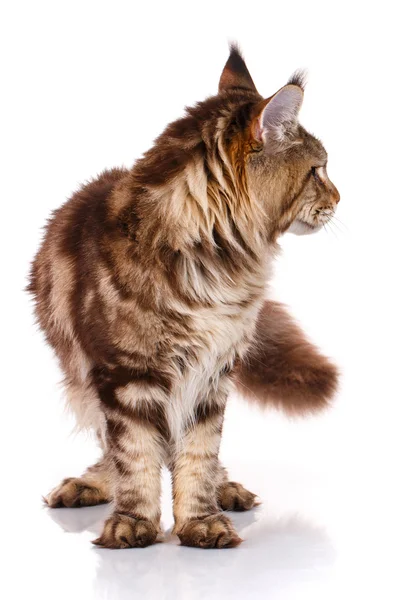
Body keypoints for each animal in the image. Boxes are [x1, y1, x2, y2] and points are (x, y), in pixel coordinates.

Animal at [28, 44, 340, 552]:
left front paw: (202, 520)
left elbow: (197, 453)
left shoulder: (211, 374)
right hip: (81, 374)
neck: (212, 266)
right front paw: (133, 523)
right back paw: (91, 483)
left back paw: (225, 486)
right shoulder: (126, 375)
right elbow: (134, 455)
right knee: (112, 446)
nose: (340, 197)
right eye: (317, 171)